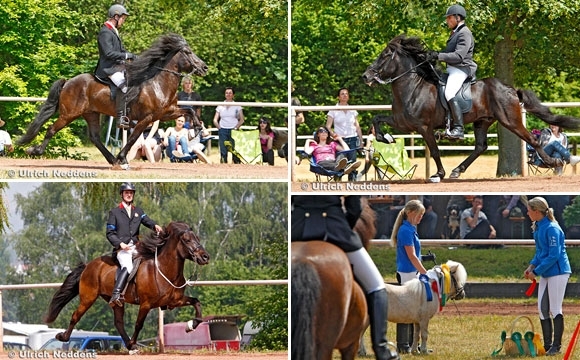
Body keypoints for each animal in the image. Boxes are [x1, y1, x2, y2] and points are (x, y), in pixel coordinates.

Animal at [17, 33, 208, 168]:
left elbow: (190, 110)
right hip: (69, 114)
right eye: (188, 53)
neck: (157, 83)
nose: (204, 67)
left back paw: (111, 159)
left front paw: (197, 129)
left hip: (91, 114)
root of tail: (68, 82)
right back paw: (35, 150)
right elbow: (132, 138)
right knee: (51, 129)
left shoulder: (165, 113)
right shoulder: (146, 118)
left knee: (94, 137)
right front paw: (122, 158)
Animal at [43, 221, 211, 352]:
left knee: (118, 323)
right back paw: (63, 336)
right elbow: (138, 324)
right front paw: (133, 343)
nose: (205, 257)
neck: (164, 270)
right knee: (75, 316)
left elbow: (197, 303)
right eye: (187, 240)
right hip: (88, 298)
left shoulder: (174, 301)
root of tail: (88, 265)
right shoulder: (146, 304)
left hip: (115, 302)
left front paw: (190, 325)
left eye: (197, 238)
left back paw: (129, 345)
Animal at [360, 34, 580, 181]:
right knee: (480, 147)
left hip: (510, 120)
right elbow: (376, 120)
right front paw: (387, 138)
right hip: (482, 122)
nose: (366, 76)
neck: (412, 88)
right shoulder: (403, 123)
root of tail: (509, 88)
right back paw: (458, 170)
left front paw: (438, 174)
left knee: (532, 139)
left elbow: (435, 150)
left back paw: (553, 163)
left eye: (385, 55)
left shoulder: (423, 127)